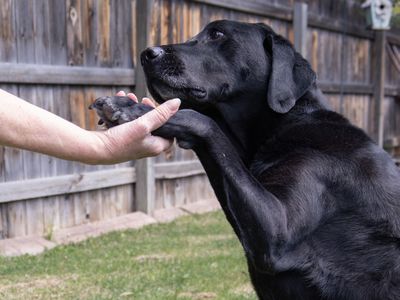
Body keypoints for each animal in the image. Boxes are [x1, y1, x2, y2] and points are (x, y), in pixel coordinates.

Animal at [90, 19, 400, 298]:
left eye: (217, 34)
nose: (146, 54)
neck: (287, 121)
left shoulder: (276, 228)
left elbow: (203, 122)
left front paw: (130, 108)